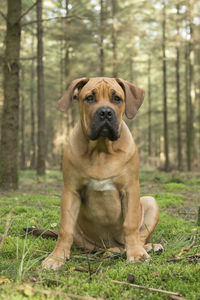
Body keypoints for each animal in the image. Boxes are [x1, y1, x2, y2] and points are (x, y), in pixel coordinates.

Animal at [42, 77, 162, 270]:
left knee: (140, 235)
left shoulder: (130, 189)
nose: (105, 112)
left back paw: (146, 247)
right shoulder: (70, 191)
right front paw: (56, 257)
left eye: (117, 98)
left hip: (150, 201)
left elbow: (130, 224)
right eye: (89, 98)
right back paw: (112, 251)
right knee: (93, 246)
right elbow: (64, 229)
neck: (101, 149)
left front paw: (136, 254)